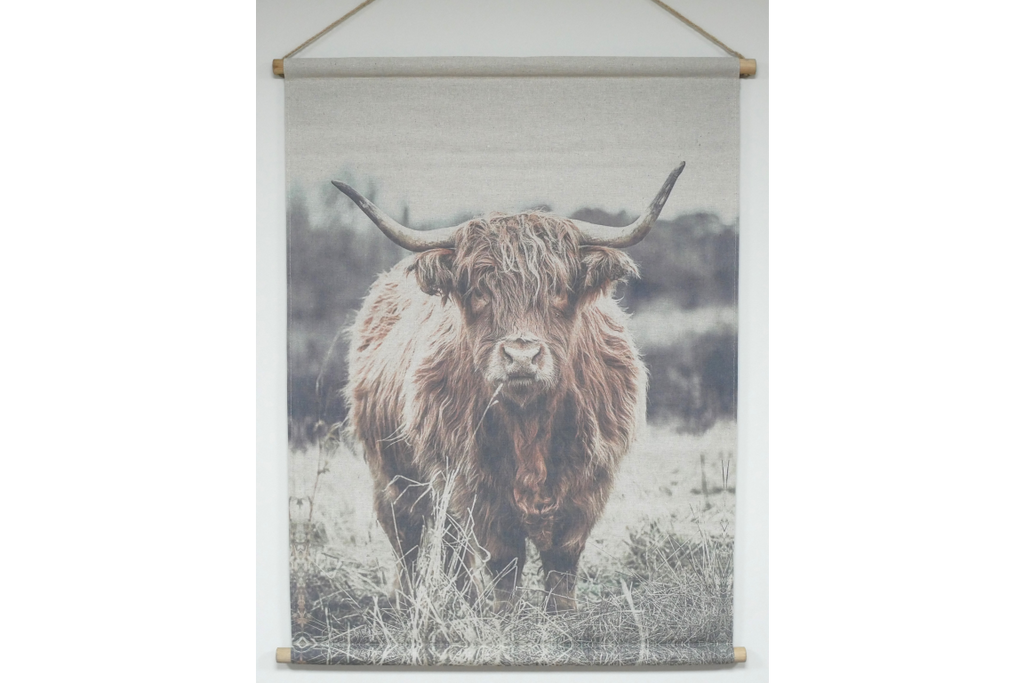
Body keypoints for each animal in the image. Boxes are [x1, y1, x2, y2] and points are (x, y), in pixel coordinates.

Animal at [333, 162, 686, 612]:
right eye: (480, 292)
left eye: (559, 291)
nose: (521, 356)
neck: (529, 422)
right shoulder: (475, 486)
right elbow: (503, 561)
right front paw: (504, 614)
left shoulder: (588, 485)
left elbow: (562, 560)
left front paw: (562, 614)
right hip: (392, 476)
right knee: (409, 540)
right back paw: (412, 602)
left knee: (449, 547)